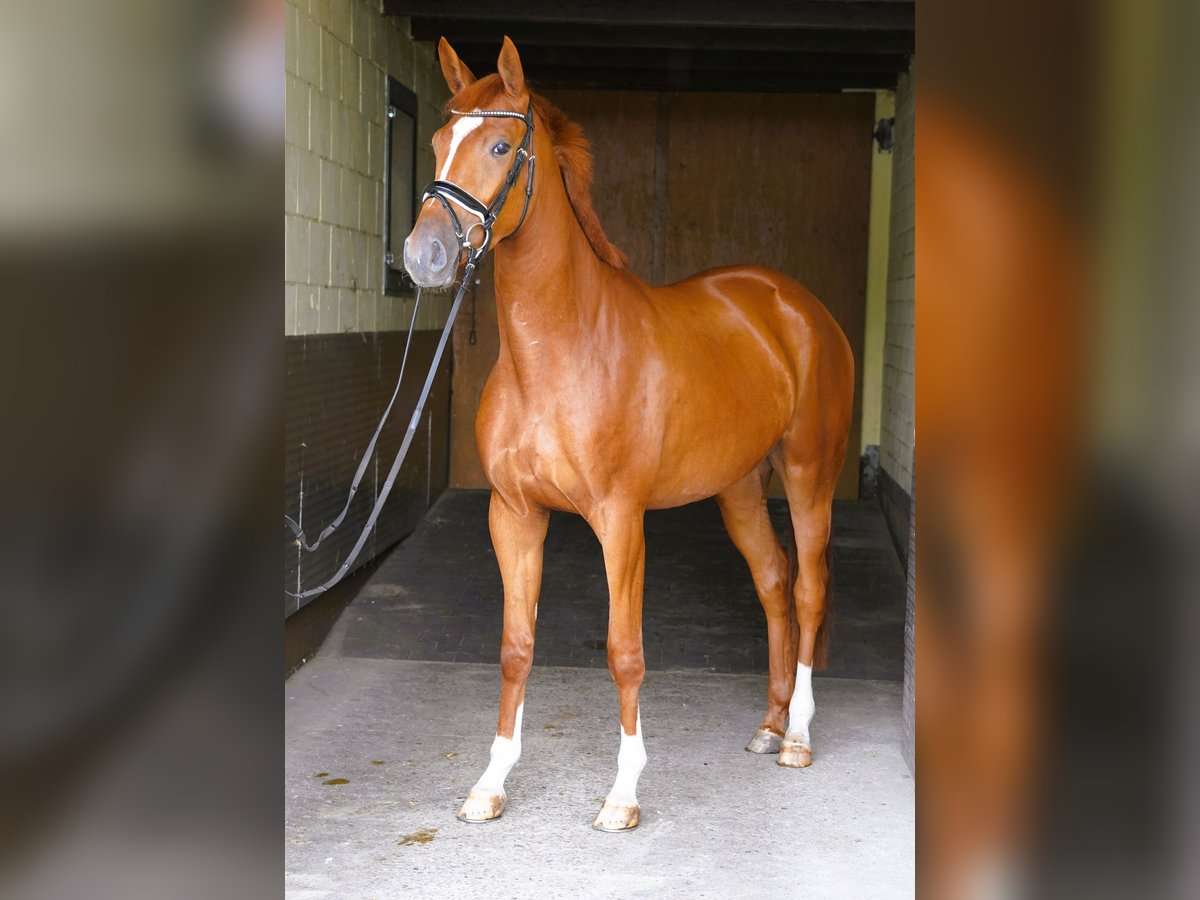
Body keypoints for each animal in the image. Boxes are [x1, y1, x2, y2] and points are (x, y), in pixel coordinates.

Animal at [405, 38, 854, 835]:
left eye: (499, 146)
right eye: (436, 140)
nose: (423, 256)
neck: (559, 349)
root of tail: (800, 309)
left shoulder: (621, 521)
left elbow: (624, 651)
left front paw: (623, 793)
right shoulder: (513, 515)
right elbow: (516, 647)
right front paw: (490, 784)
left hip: (808, 477)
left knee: (808, 589)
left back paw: (798, 735)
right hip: (740, 487)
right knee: (773, 582)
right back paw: (769, 726)